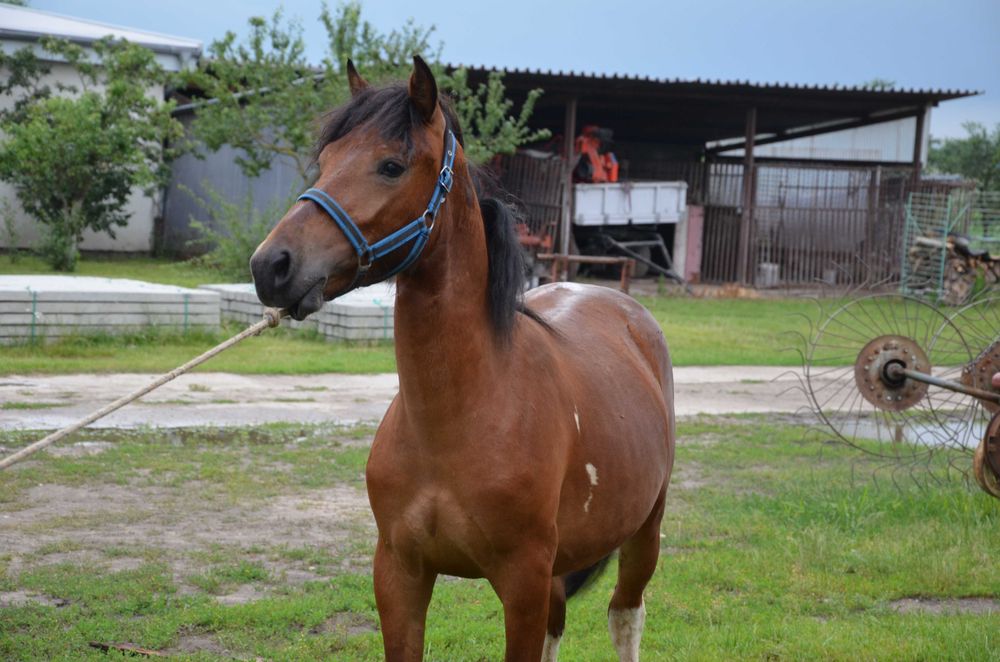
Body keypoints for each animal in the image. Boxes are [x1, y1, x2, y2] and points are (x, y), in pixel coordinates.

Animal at [250, 57, 676, 662]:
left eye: (391, 165)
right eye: (326, 161)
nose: (271, 266)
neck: (460, 418)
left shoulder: (522, 582)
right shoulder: (399, 574)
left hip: (644, 532)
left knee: (625, 615)